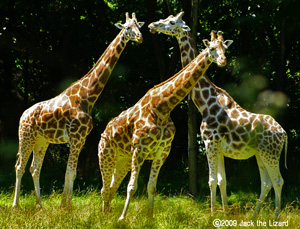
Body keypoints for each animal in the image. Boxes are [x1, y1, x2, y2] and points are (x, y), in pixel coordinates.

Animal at [13, 12, 145, 209]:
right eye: (128, 27)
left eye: (139, 26)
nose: (140, 38)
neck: (88, 96)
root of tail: (23, 115)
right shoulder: (75, 137)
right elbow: (70, 172)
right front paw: (65, 207)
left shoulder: (81, 139)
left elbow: (72, 172)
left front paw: (67, 205)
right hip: (26, 136)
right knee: (20, 166)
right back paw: (16, 206)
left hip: (42, 140)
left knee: (34, 168)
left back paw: (40, 205)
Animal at [97, 30, 233, 220]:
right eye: (212, 48)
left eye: (225, 48)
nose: (223, 61)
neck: (162, 108)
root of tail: (105, 130)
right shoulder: (139, 150)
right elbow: (132, 187)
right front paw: (122, 218)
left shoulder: (162, 152)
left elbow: (151, 187)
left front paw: (149, 218)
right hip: (105, 155)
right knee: (104, 189)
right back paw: (104, 217)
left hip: (123, 160)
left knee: (111, 188)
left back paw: (108, 215)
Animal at [149, 11, 288, 219]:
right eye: (167, 19)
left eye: (171, 22)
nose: (153, 25)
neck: (205, 103)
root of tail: (284, 133)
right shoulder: (220, 148)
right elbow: (223, 180)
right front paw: (224, 212)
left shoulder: (210, 143)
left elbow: (212, 180)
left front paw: (213, 214)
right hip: (260, 153)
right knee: (266, 182)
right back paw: (254, 216)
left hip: (270, 153)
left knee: (278, 181)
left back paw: (276, 217)